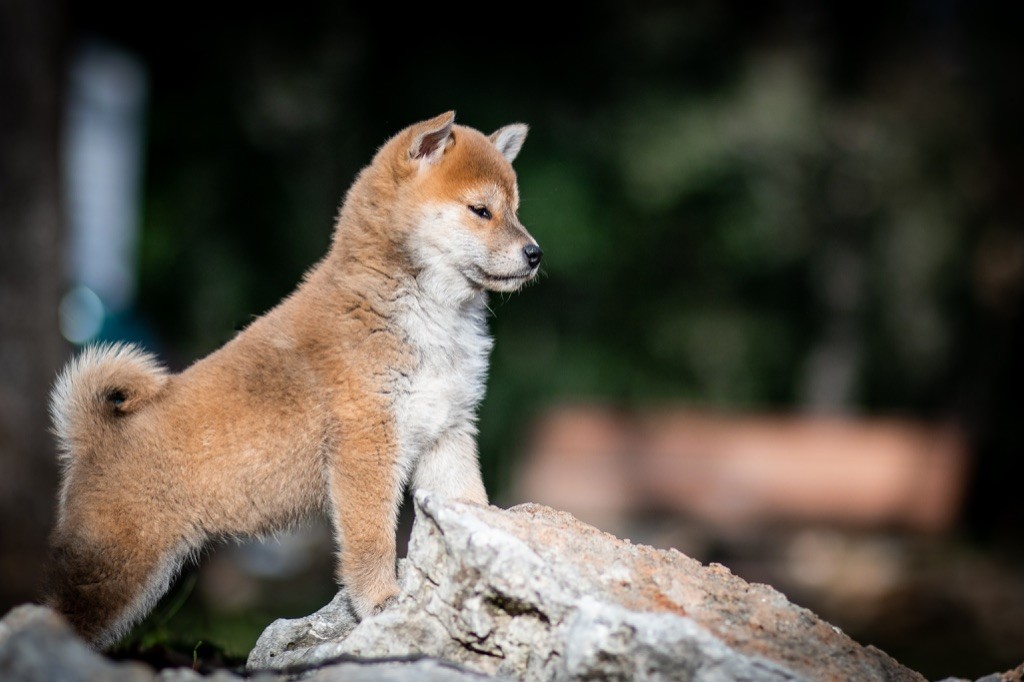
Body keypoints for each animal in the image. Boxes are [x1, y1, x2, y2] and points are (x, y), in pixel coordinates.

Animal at [46, 111, 544, 647]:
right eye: (480, 210)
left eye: (514, 210)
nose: (535, 253)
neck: (425, 313)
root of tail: (92, 436)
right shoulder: (366, 446)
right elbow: (372, 539)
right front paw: (381, 601)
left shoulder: (447, 432)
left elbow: (469, 502)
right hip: (114, 570)